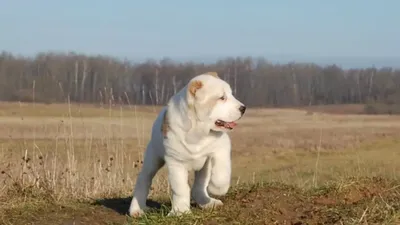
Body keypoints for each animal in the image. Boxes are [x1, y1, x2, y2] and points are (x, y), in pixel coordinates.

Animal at [128, 71, 247, 216]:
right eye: (222, 98)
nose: (243, 108)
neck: (198, 131)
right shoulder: (176, 162)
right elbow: (181, 189)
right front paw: (180, 211)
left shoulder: (221, 147)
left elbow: (221, 173)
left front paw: (216, 189)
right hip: (153, 159)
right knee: (144, 179)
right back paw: (137, 210)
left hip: (204, 166)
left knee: (199, 186)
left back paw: (208, 202)